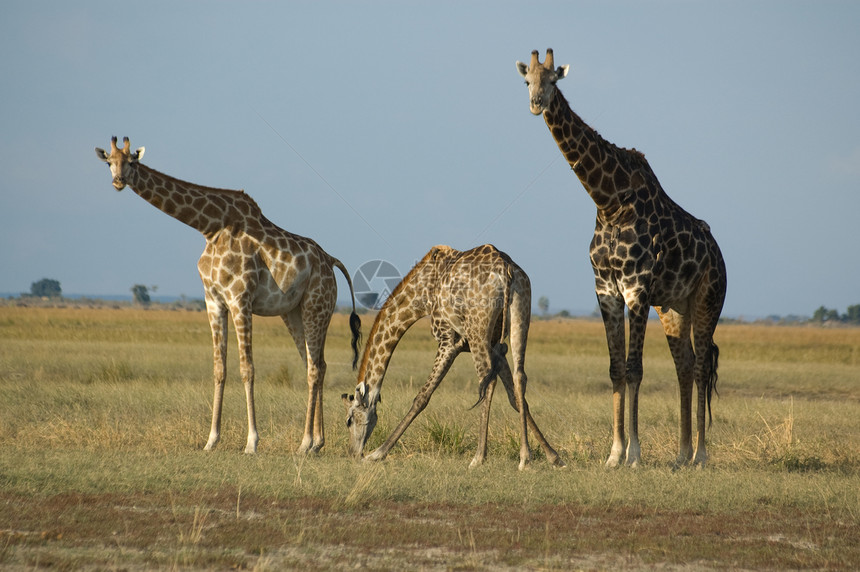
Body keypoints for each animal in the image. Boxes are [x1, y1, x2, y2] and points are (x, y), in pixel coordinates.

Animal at [95, 136, 362, 454]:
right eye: (109, 162)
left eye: (132, 162)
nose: (119, 181)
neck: (210, 227)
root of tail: (330, 260)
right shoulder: (213, 302)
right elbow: (219, 369)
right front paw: (211, 440)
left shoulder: (239, 299)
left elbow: (247, 368)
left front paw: (252, 442)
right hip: (293, 312)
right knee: (317, 364)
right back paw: (317, 443)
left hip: (317, 306)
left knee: (313, 369)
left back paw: (305, 442)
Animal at [340, 244, 568, 472]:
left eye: (349, 420)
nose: (353, 453)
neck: (421, 295)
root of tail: (506, 269)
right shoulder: (496, 347)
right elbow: (515, 399)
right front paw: (551, 457)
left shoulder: (448, 340)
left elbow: (422, 397)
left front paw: (377, 453)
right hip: (520, 316)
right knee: (520, 377)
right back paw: (524, 458)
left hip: (477, 331)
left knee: (486, 381)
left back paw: (478, 457)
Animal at [516, 51, 724, 466]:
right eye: (526, 80)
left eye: (553, 80)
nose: (535, 103)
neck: (608, 201)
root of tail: (720, 255)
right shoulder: (606, 290)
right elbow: (615, 369)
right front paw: (614, 454)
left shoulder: (637, 288)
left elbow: (634, 369)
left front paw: (635, 455)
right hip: (673, 307)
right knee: (685, 364)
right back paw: (681, 455)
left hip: (708, 300)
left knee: (701, 365)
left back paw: (701, 456)